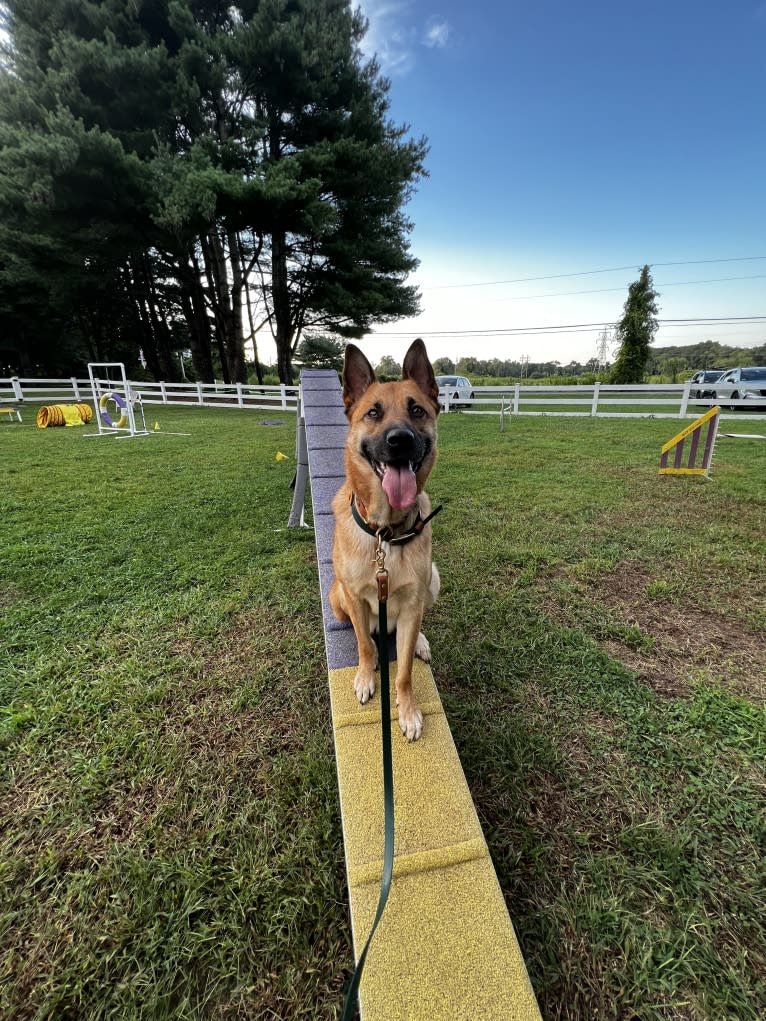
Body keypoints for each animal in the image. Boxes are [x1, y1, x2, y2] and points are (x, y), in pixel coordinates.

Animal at [330, 338, 443, 739]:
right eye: (374, 413)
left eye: (417, 410)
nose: (400, 441)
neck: (387, 531)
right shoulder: (354, 596)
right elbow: (365, 646)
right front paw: (366, 677)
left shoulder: (411, 603)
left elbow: (405, 669)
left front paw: (407, 710)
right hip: (338, 596)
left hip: (432, 580)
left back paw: (421, 641)